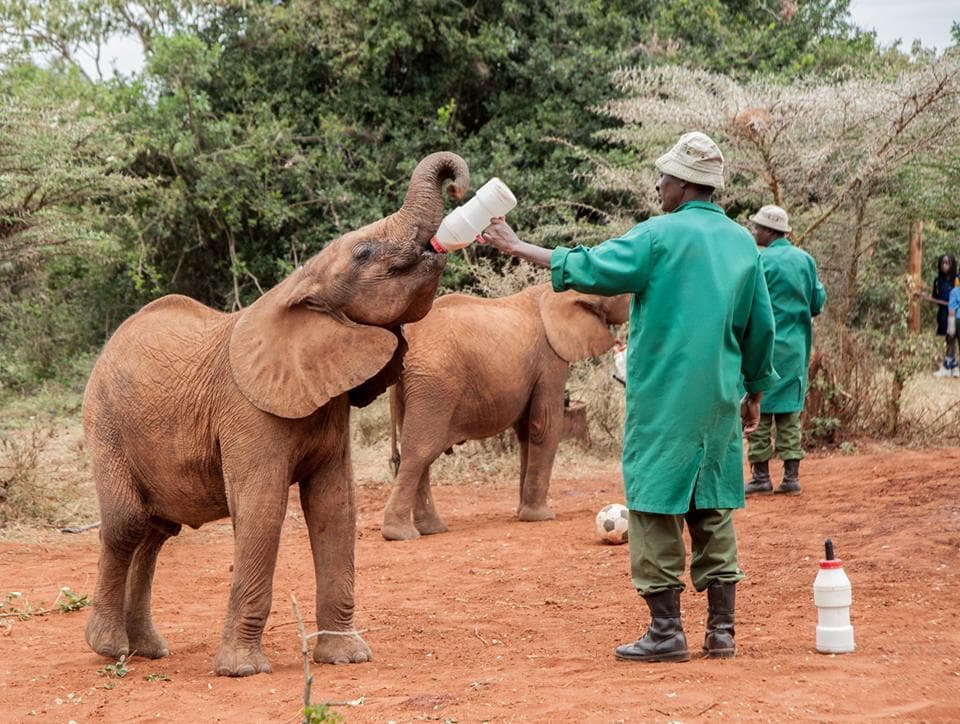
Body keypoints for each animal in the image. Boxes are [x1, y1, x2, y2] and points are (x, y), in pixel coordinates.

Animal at [80, 150, 470, 676]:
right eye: (364, 253)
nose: (459, 188)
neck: (299, 283)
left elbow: (335, 508)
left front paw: (346, 659)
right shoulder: (247, 412)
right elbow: (262, 511)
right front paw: (242, 670)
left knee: (157, 532)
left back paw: (148, 649)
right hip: (105, 421)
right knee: (126, 523)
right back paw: (109, 648)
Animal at [378, 286, 632, 540]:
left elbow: (526, 432)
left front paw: (522, 513)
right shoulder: (550, 358)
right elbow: (544, 425)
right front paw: (540, 517)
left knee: (420, 453)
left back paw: (431, 530)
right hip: (434, 386)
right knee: (420, 452)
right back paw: (400, 534)